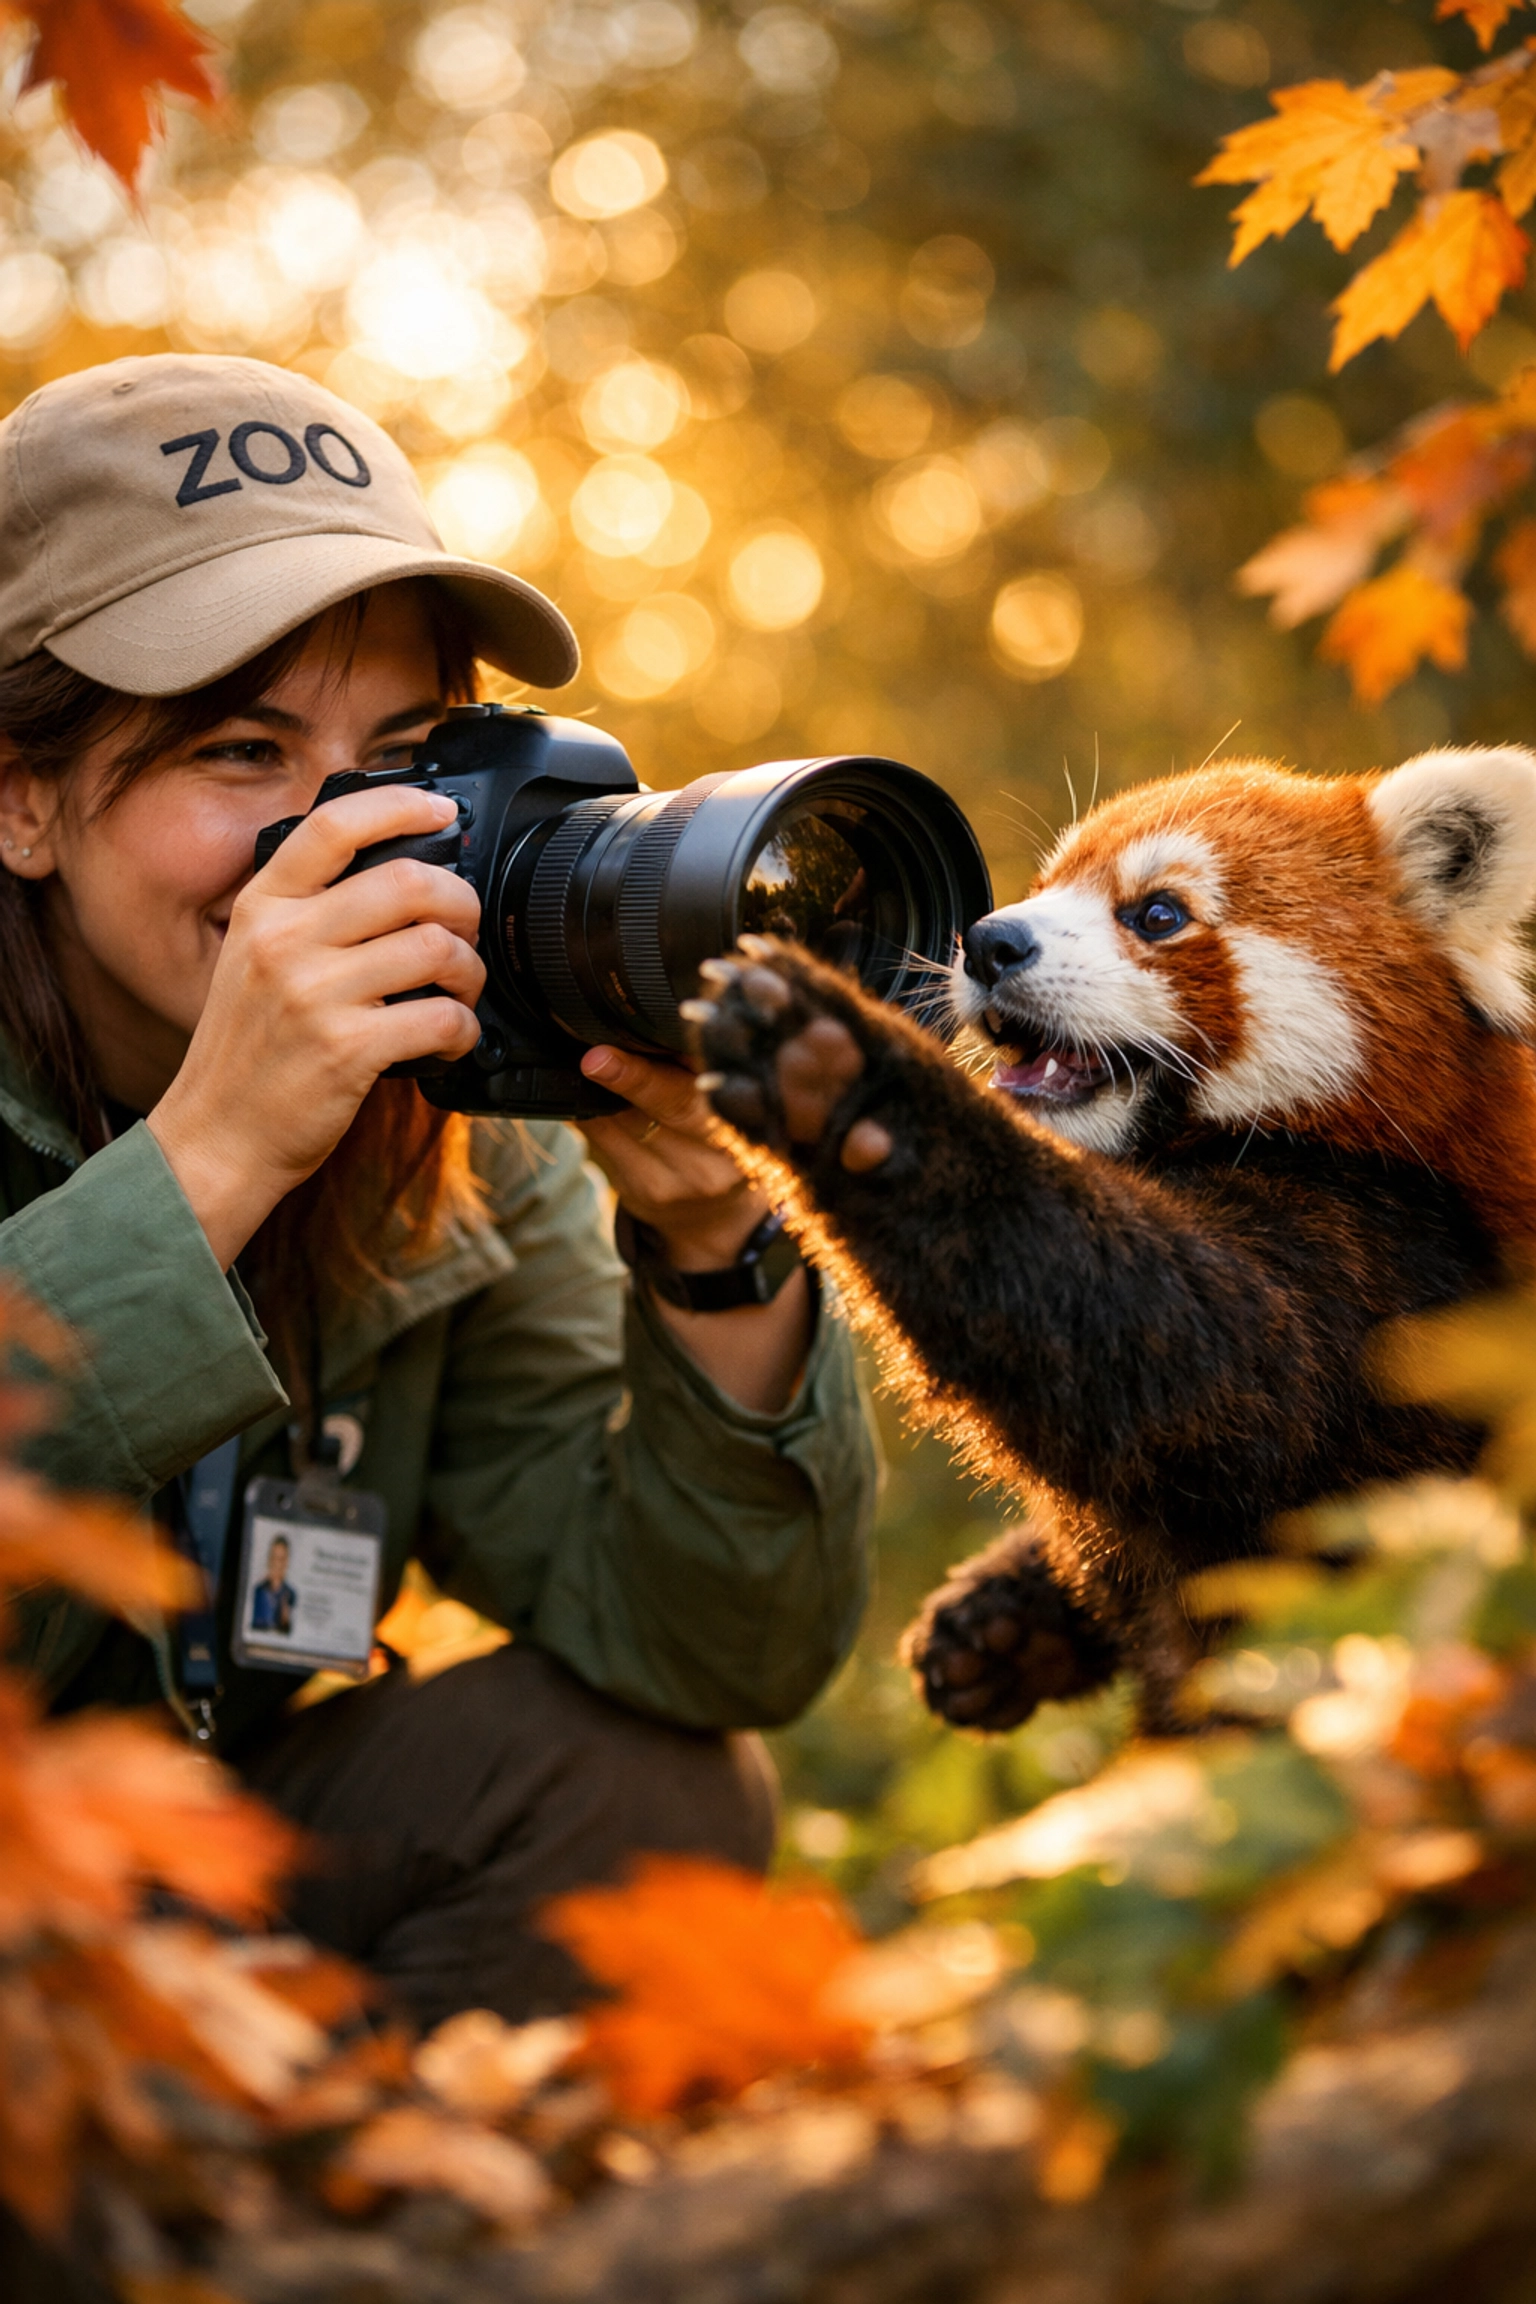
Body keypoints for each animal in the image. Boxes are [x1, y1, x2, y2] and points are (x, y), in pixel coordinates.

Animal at [687, 747, 1536, 1733]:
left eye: (1157, 914)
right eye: (1042, 888)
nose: (987, 942)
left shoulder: (1386, 1283)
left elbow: (1151, 1348)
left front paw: (845, 1071)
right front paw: (1001, 1621)